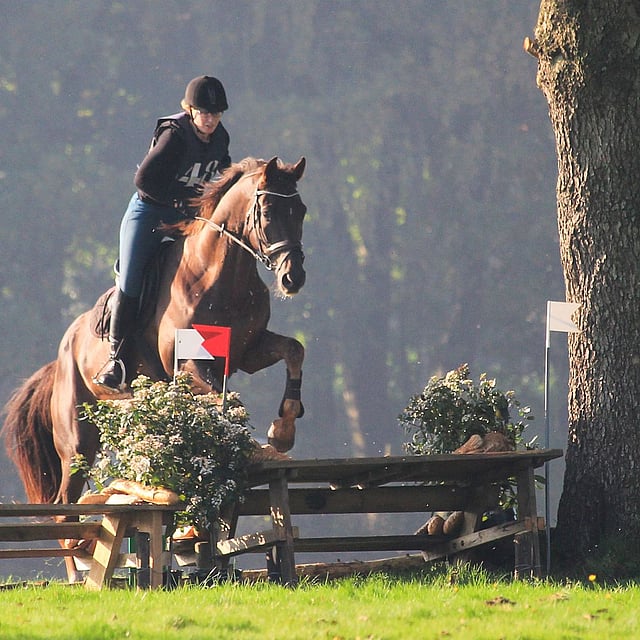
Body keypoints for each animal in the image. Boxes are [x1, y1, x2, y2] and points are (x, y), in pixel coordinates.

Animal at [3, 155, 307, 512]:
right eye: (268, 212)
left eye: (301, 210)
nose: (293, 278)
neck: (221, 276)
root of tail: (60, 359)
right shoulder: (188, 365)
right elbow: (227, 398)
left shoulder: (248, 351)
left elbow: (294, 350)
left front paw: (283, 430)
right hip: (76, 440)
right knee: (66, 499)